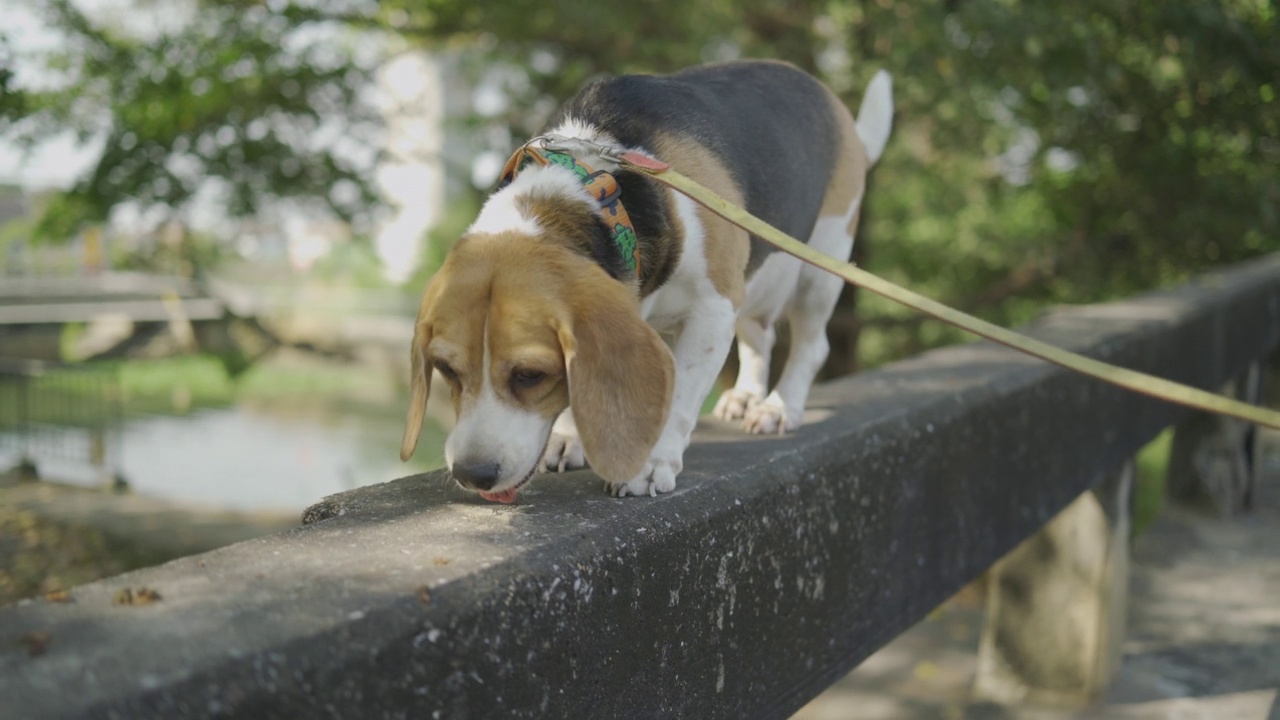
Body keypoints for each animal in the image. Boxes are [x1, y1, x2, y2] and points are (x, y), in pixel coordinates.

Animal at [399, 60, 890, 499]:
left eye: (530, 375)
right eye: (446, 369)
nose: (472, 474)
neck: (595, 189)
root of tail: (835, 105)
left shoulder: (713, 310)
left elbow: (681, 397)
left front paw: (649, 465)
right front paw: (570, 436)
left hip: (820, 266)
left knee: (811, 345)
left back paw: (778, 407)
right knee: (761, 336)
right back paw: (747, 396)